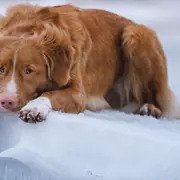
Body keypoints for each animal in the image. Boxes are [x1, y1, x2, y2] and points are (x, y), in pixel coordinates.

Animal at [0, 3, 178, 122]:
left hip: (136, 35)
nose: (6, 100)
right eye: (1, 69)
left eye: (28, 70)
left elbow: (49, 94)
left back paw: (150, 108)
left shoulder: (78, 93)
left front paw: (34, 108)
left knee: (157, 99)